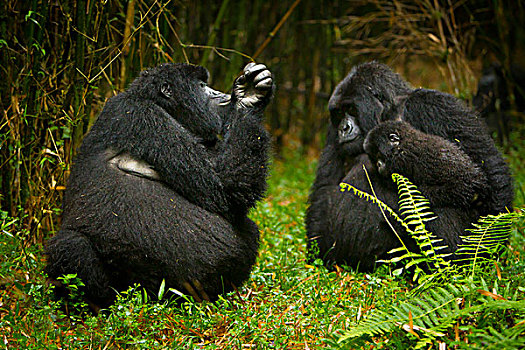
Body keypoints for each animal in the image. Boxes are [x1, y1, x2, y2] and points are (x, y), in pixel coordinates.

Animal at [45, 61, 274, 308]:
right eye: (202, 86)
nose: (219, 95)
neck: (161, 105)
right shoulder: (140, 115)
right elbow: (223, 189)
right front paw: (249, 100)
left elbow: (229, 190)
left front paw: (249, 98)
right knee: (71, 245)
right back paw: (96, 307)